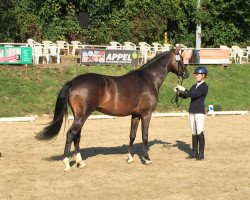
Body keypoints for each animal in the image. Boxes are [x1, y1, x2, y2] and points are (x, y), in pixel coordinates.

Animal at [36, 46, 188, 171]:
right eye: (182, 59)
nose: (186, 74)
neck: (148, 79)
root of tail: (74, 81)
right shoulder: (146, 114)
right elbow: (144, 136)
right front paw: (147, 159)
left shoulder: (135, 115)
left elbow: (132, 135)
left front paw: (130, 158)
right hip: (82, 116)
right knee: (70, 134)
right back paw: (67, 163)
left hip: (79, 116)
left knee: (77, 136)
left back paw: (80, 162)